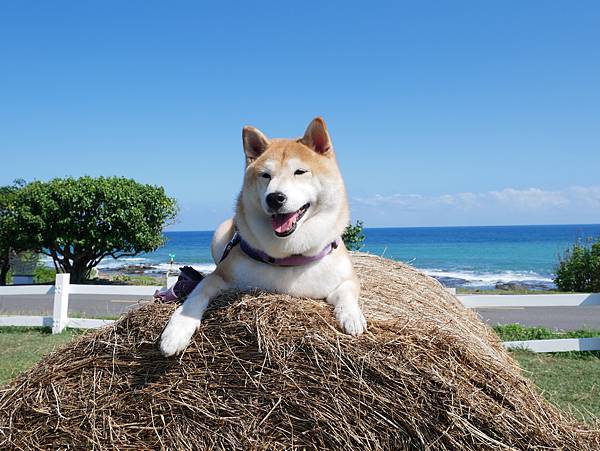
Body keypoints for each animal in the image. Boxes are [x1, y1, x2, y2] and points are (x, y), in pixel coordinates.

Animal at [159, 116, 366, 356]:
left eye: (300, 172)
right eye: (265, 175)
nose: (275, 197)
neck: (289, 256)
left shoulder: (347, 277)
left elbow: (347, 293)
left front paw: (352, 317)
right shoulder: (219, 276)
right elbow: (196, 296)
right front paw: (175, 333)